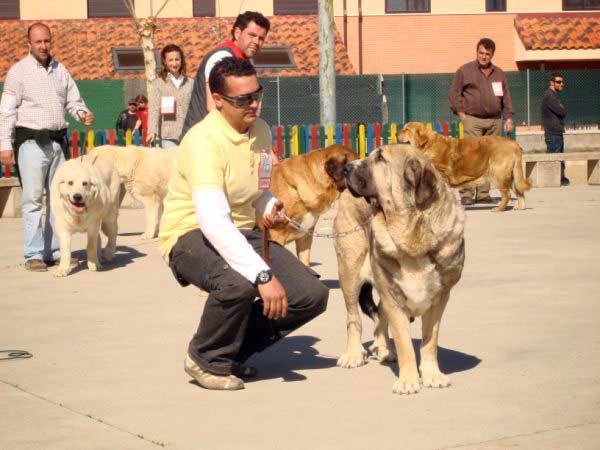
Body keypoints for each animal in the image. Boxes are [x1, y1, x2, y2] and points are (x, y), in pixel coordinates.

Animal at [336, 144, 466, 394]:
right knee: (353, 317)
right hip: (350, 273)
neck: (412, 234)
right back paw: (353, 354)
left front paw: (432, 375)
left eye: (380, 158)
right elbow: (405, 343)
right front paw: (408, 380)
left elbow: (430, 340)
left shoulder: (439, 299)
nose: (346, 167)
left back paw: (384, 349)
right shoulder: (394, 298)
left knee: (380, 317)